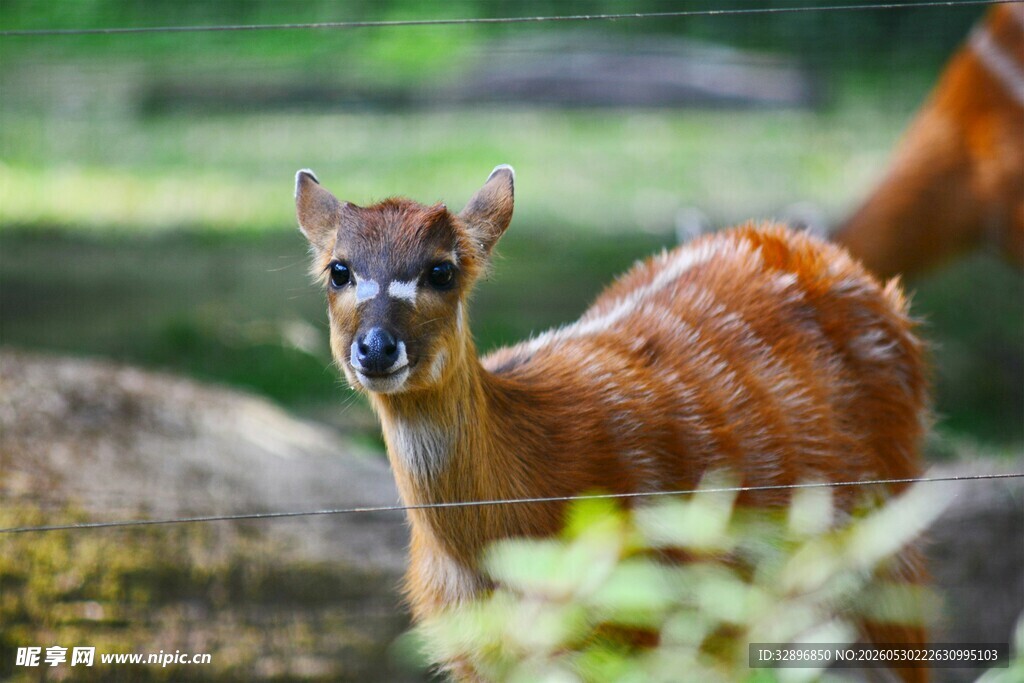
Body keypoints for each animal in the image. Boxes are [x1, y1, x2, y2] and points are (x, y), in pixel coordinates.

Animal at [295, 165, 930, 681]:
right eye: (338, 270)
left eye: (442, 271)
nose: (377, 349)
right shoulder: (475, 654)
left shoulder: (637, 626)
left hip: (889, 543)